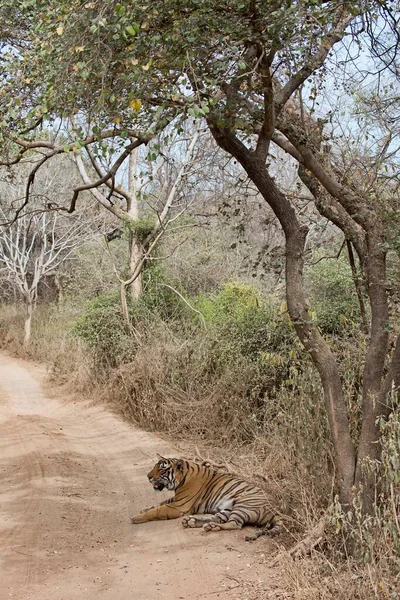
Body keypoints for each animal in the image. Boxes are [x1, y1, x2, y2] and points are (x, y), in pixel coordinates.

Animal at [130, 454, 282, 540]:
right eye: (155, 466)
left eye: (161, 469)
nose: (148, 477)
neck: (182, 478)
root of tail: (278, 510)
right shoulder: (176, 500)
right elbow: (158, 503)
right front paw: (143, 510)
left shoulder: (179, 505)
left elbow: (157, 510)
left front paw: (136, 518)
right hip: (228, 508)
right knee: (218, 518)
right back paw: (193, 522)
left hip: (244, 504)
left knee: (235, 524)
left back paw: (210, 527)